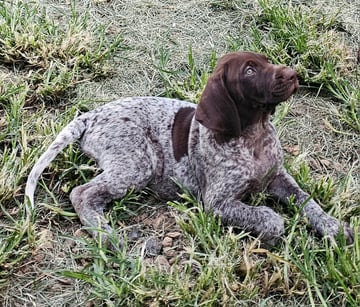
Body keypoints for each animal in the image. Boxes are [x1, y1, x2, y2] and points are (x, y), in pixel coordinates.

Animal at [26, 51, 354, 247]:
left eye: (266, 60)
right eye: (249, 71)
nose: (293, 73)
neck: (253, 136)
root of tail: (91, 114)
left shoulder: (279, 177)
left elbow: (307, 201)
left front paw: (333, 226)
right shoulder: (218, 202)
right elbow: (270, 218)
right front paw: (273, 229)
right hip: (137, 163)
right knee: (82, 193)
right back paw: (104, 233)